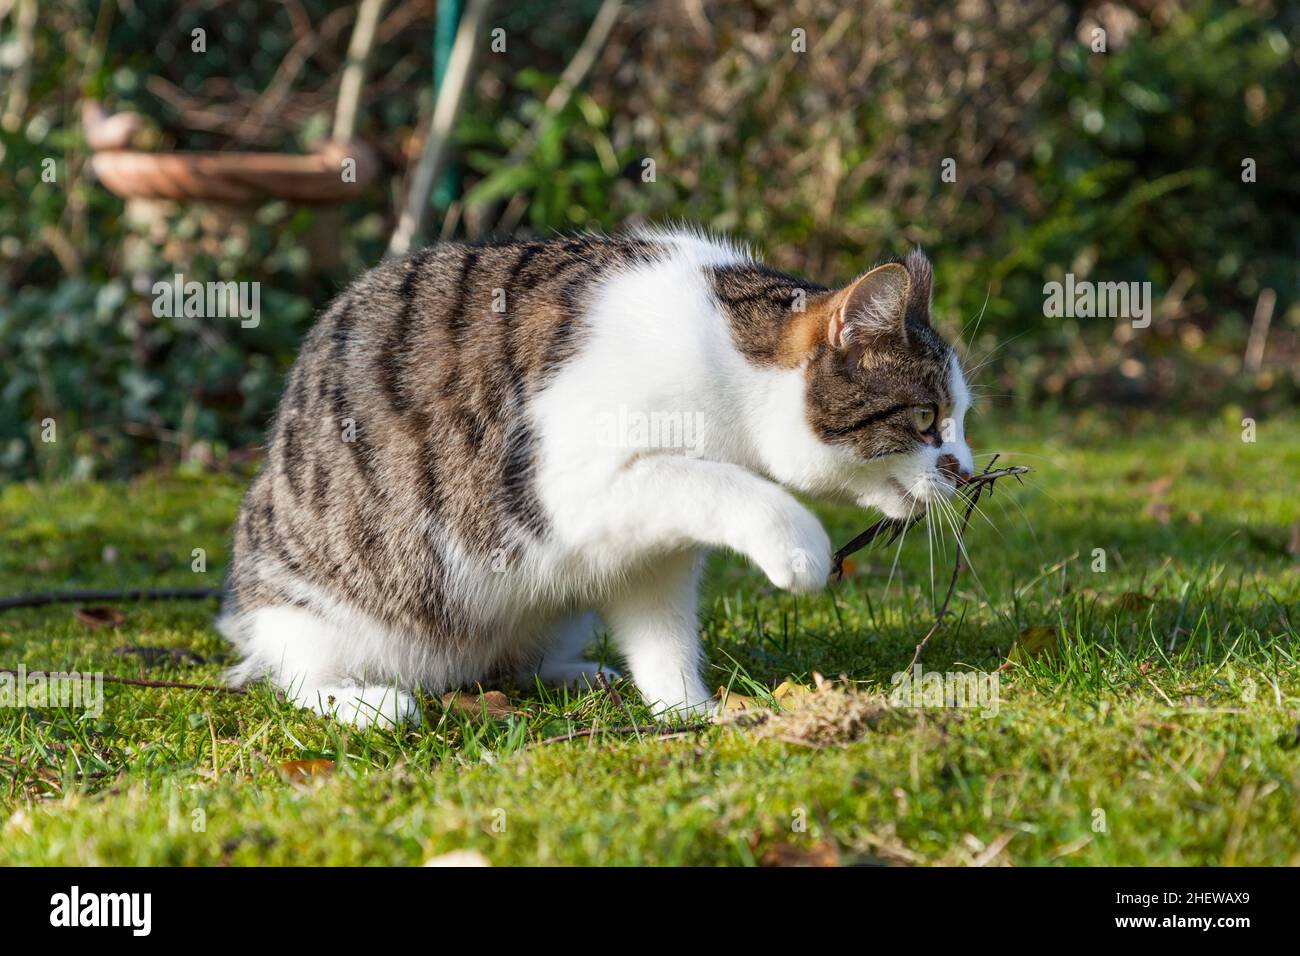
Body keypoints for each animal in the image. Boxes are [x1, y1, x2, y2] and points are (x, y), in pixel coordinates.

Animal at [218, 227, 977, 728]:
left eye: (963, 417)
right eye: (926, 417)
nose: (967, 472)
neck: (729, 363)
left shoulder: (653, 547)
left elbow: (661, 625)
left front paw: (685, 709)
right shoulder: (568, 484)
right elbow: (726, 486)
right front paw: (799, 545)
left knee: (511, 662)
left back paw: (574, 674)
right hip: (328, 611)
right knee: (294, 674)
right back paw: (362, 700)